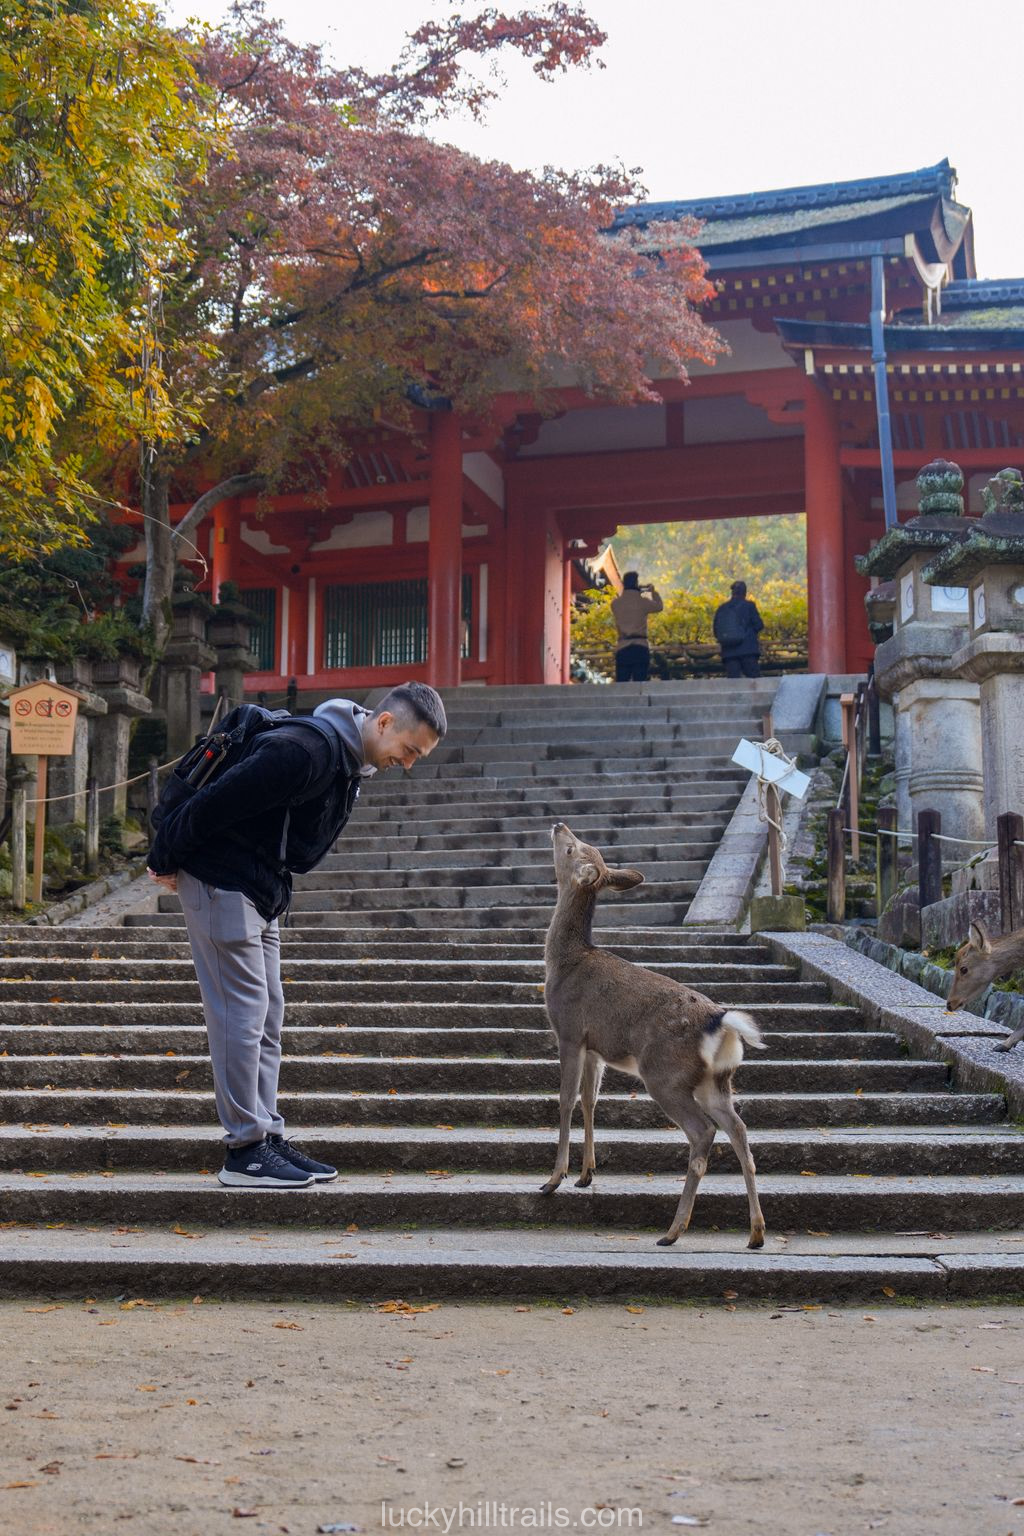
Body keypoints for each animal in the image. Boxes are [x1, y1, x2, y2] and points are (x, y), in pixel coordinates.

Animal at [541, 822, 767, 1249]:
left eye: (572, 849)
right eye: (584, 844)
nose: (560, 825)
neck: (563, 962)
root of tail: (721, 1023)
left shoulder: (570, 1031)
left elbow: (565, 1100)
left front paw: (554, 1178)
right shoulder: (596, 1047)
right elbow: (590, 1101)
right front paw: (586, 1174)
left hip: (665, 1075)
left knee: (703, 1132)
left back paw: (674, 1231)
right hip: (717, 1081)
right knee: (740, 1131)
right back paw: (756, 1233)